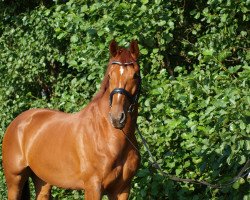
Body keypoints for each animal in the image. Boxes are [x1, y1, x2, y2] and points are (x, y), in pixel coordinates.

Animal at [2, 39, 141, 199]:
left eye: (135, 75)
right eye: (110, 76)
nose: (117, 117)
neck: (109, 137)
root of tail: (17, 122)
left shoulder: (122, 189)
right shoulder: (93, 186)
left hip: (42, 180)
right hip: (15, 181)